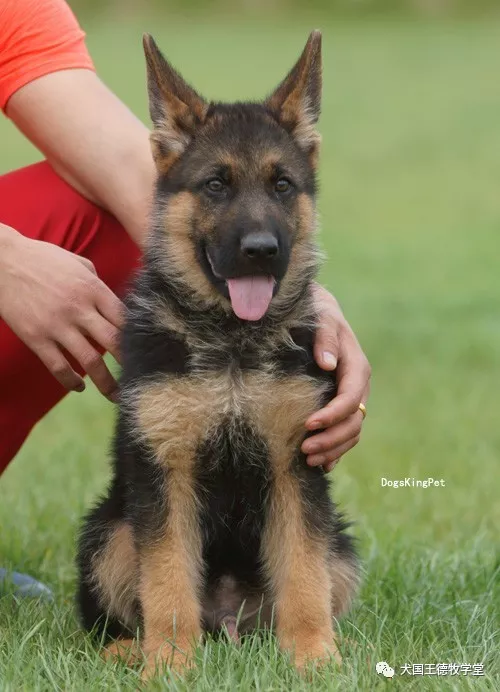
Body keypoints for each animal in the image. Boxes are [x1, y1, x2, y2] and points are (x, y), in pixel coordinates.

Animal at [77, 31, 360, 676]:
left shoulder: (294, 466)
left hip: (342, 545)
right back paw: (131, 649)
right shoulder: (165, 472)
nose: (261, 250)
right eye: (215, 185)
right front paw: (169, 664)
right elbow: (166, 579)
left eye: (283, 185)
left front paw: (313, 657)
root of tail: (230, 623)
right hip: (109, 532)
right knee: (115, 614)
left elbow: (303, 575)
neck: (233, 341)